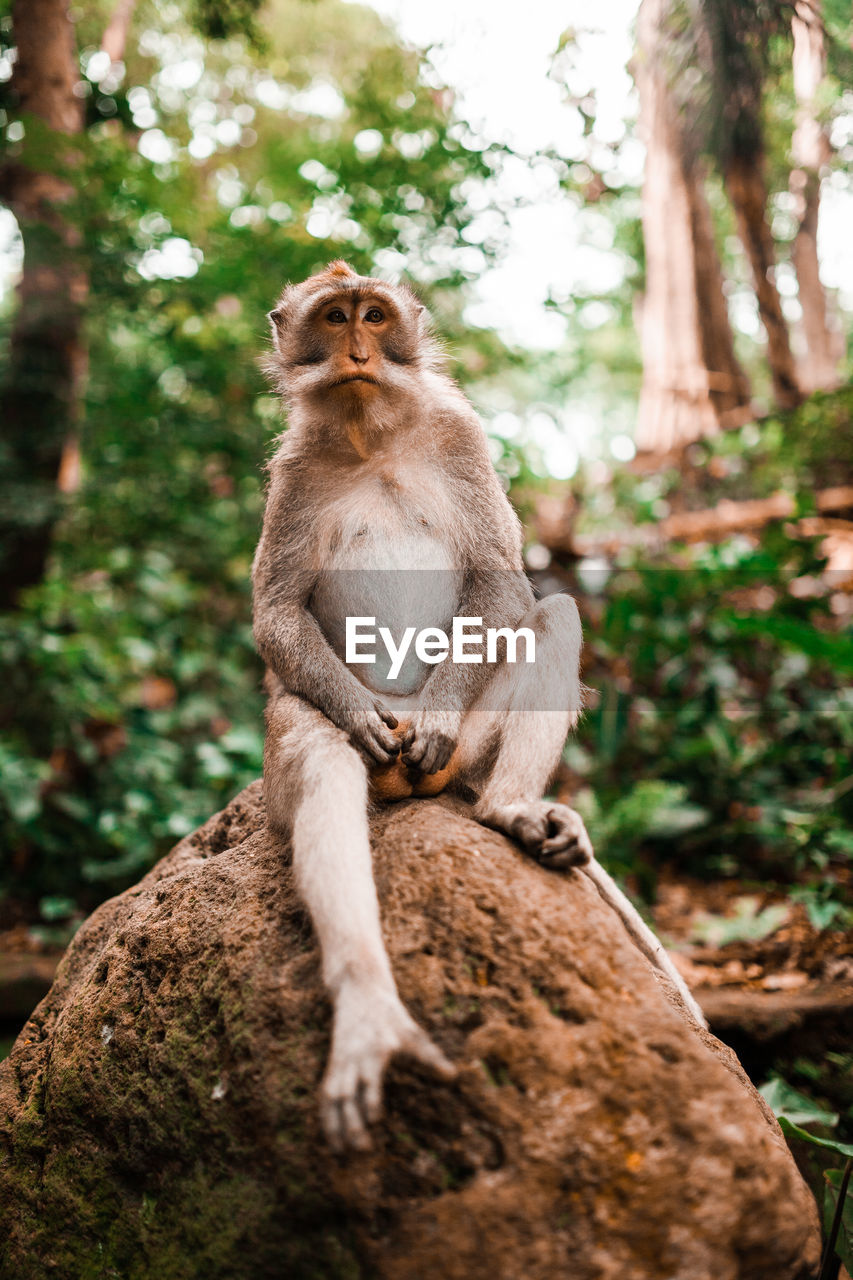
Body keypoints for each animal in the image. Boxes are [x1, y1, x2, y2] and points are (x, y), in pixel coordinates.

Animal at [252, 257, 701, 1152]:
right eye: (333, 317)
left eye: (374, 315)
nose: (358, 351)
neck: (369, 434)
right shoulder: (292, 467)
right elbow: (277, 614)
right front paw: (362, 719)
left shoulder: (460, 437)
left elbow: (501, 585)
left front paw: (428, 722)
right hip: (321, 743)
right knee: (319, 762)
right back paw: (369, 1005)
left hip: (469, 748)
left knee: (553, 620)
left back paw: (507, 809)